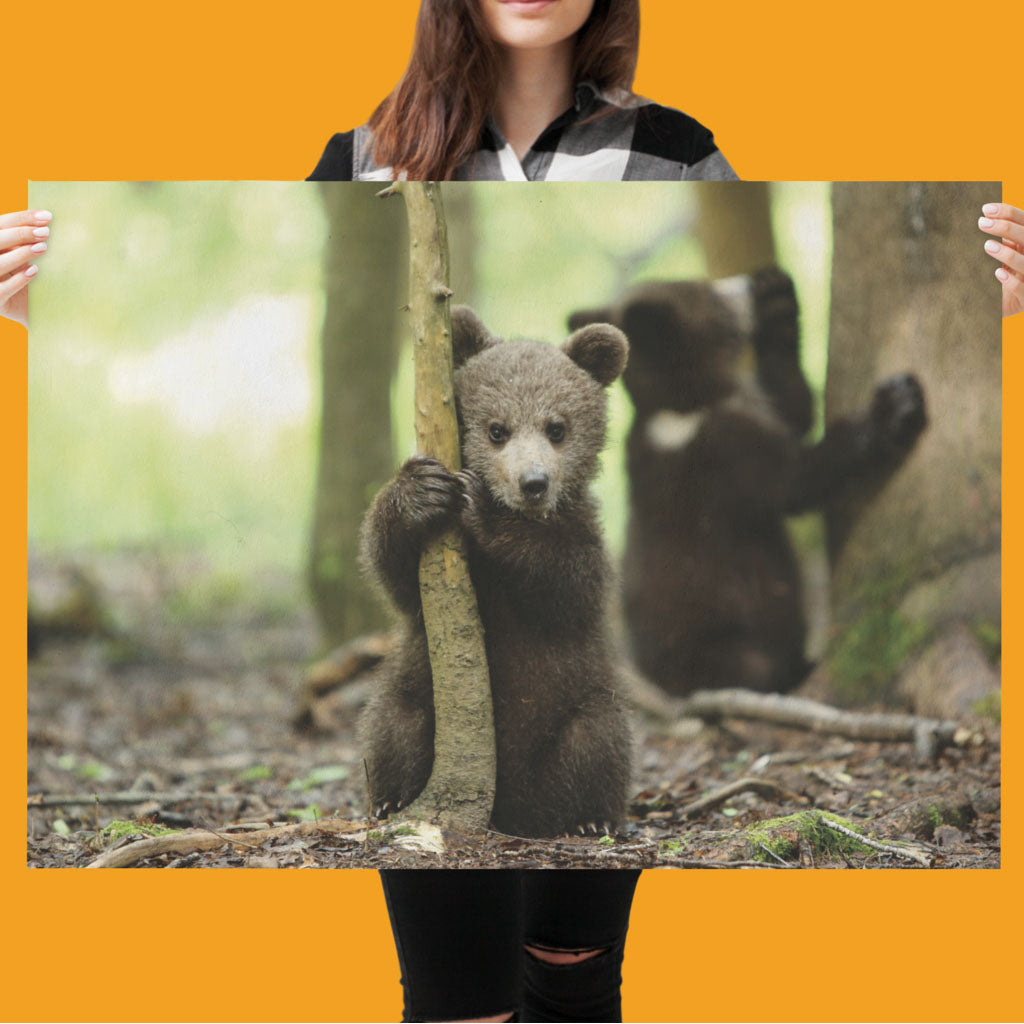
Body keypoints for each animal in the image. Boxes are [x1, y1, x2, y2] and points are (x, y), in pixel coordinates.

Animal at [358, 306, 633, 838]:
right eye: (497, 429)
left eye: (556, 427)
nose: (533, 483)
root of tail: (510, 808)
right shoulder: (427, 585)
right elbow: (395, 575)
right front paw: (420, 490)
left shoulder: (584, 542)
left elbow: (567, 585)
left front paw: (483, 507)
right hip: (416, 690)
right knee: (393, 725)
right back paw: (390, 800)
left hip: (580, 702)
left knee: (597, 742)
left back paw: (588, 819)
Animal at [569, 266, 927, 697]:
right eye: (709, 293)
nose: (745, 282)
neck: (687, 405)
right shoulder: (723, 455)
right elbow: (796, 481)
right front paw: (896, 404)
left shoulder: (750, 411)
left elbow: (793, 408)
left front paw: (777, 298)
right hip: (720, 640)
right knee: (751, 668)